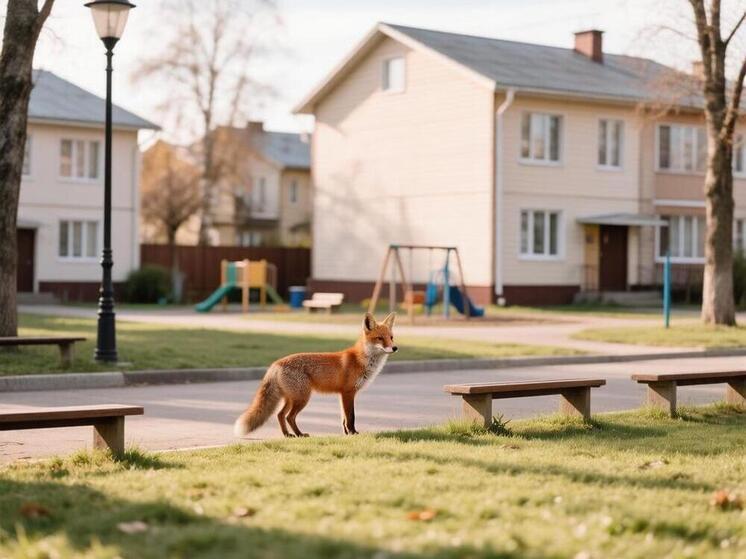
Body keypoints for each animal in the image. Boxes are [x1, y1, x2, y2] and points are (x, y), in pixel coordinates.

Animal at [233, 312, 397, 438]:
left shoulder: (342, 394)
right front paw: (353, 433)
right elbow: (351, 417)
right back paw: (299, 434)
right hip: (302, 398)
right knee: (289, 417)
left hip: (291, 398)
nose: (395, 348)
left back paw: (287, 435)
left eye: (391, 337)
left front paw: (346, 434)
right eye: (380, 338)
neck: (362, 360)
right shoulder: (348, 392)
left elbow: (344, 418)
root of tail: (276, 363)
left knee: (280, 415)